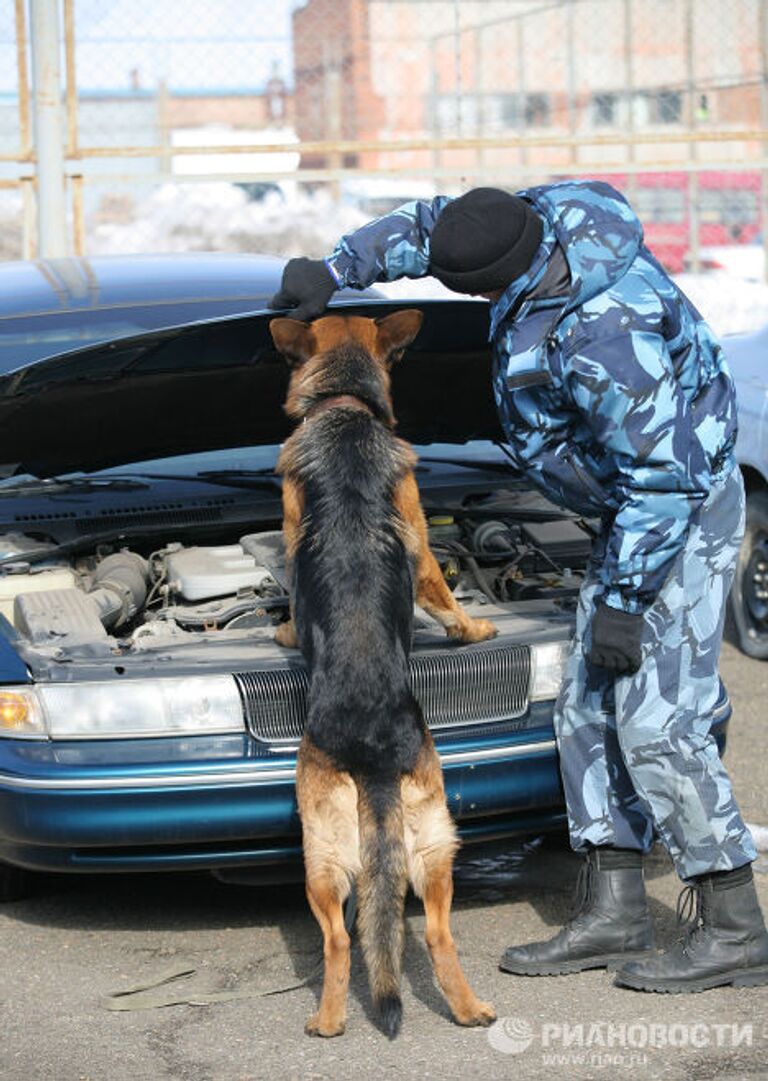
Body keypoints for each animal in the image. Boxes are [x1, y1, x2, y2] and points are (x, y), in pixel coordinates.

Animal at [270, 313, 499, 1037]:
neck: (345, 410)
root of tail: (372, 758)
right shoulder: (420, 537)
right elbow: (442, 591)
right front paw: (474, 628)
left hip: (319, 860)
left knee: (340, 940)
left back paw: (329, 1019)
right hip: (436, 849)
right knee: (434, 933)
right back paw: (468, 1007)